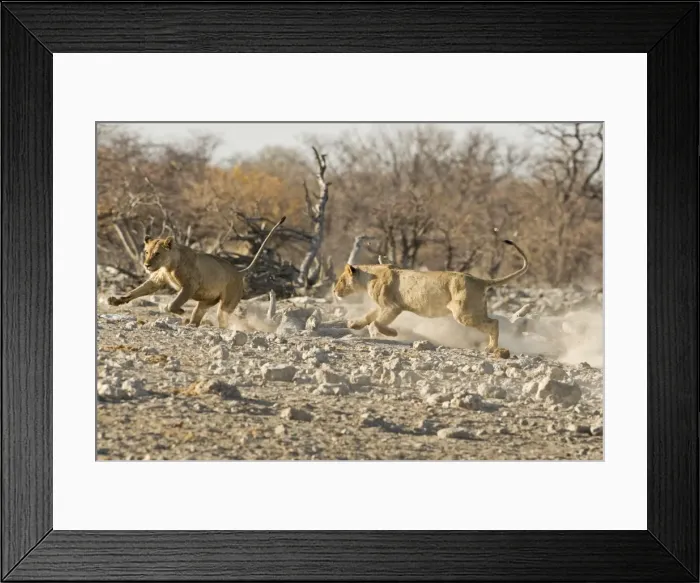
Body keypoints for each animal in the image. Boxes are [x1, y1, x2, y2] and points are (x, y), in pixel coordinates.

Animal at [107, 216, 286, 328]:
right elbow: (137, 291)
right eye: (146, 252)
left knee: (223, 318)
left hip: (227, 304)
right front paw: (116, 300)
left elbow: (173, 303)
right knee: (198, 315)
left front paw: (178, 310)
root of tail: (239, 272)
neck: (168, 266)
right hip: (205, 302)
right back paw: (191, 324)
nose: (146, 265)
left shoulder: (190, 286)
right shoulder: (157, 280)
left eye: (157, 253)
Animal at [332, 239, 529, 357]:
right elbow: (369, 316)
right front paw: (353, 324)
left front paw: (392, 333)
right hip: (475, 309)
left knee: (494, 323)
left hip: (463, 313)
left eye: (341, 280)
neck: (370, 276)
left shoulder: (393, 306)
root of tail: (479, 280)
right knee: (493, 322)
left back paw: (492, 348)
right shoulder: (382, 306)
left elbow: (377, 322)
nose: (334, 291)